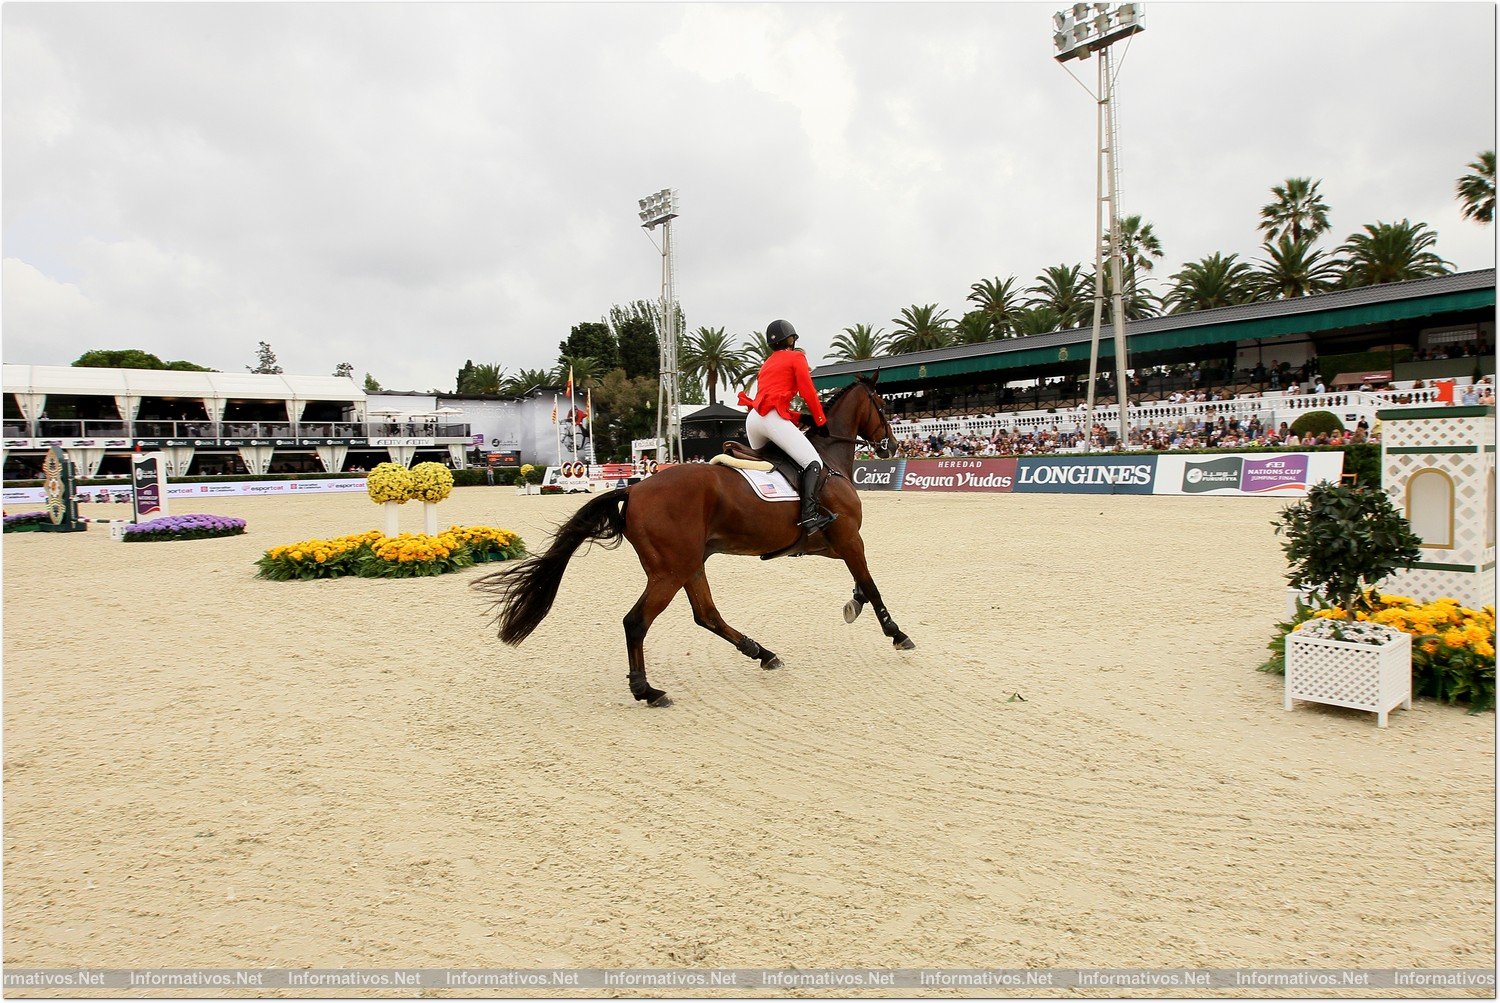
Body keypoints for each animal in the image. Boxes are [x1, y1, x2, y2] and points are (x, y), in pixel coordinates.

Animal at [471, 374, 912, 704]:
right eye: (883, 405)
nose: (891, 444)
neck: (829, 462)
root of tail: (634, 489)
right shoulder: (848, 537)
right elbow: (871, 582)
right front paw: (897, 634)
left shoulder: (827, 542)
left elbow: (860, 580)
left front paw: (854, 605)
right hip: (671, 569)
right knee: (637, 621)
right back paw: (647, 690)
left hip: (690, 563)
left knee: (707, 615)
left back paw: (762, 653)